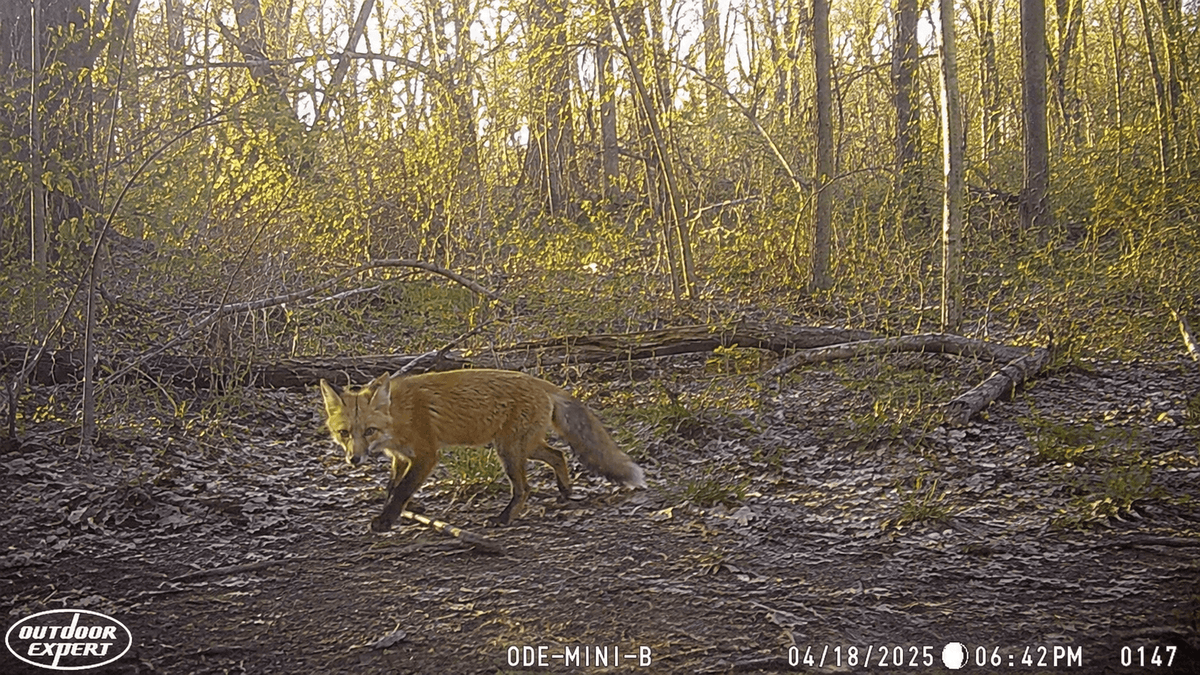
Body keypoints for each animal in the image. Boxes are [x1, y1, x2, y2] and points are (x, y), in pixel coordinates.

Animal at [319, 368, 645, 532]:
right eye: (344, 433)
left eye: (368, 431)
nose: (354, 459)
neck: (399, 415)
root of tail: (541, 382)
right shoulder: (400, 458)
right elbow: (392, 488)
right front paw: (403, 511)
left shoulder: (426, 455)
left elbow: (401, 490)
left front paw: (387, 521)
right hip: (523, 447)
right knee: (558, 454)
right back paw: (565, 490)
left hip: (509, 451)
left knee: (524, 488)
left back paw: (505, 518)